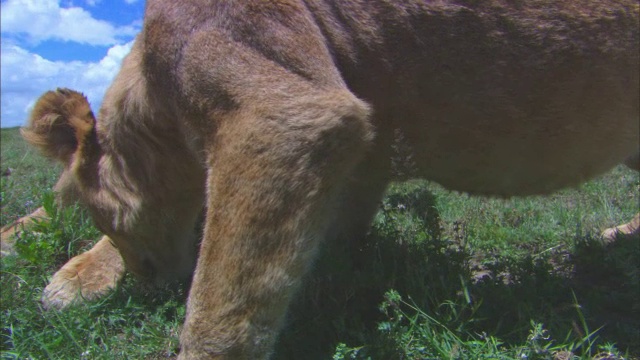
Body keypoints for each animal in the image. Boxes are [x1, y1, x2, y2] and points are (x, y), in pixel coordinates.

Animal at [10, 1, 640, 358]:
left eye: (107, 215)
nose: (146, 279)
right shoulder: (360, 152)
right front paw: (74, 276)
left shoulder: (285, 114)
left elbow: (220, 295)